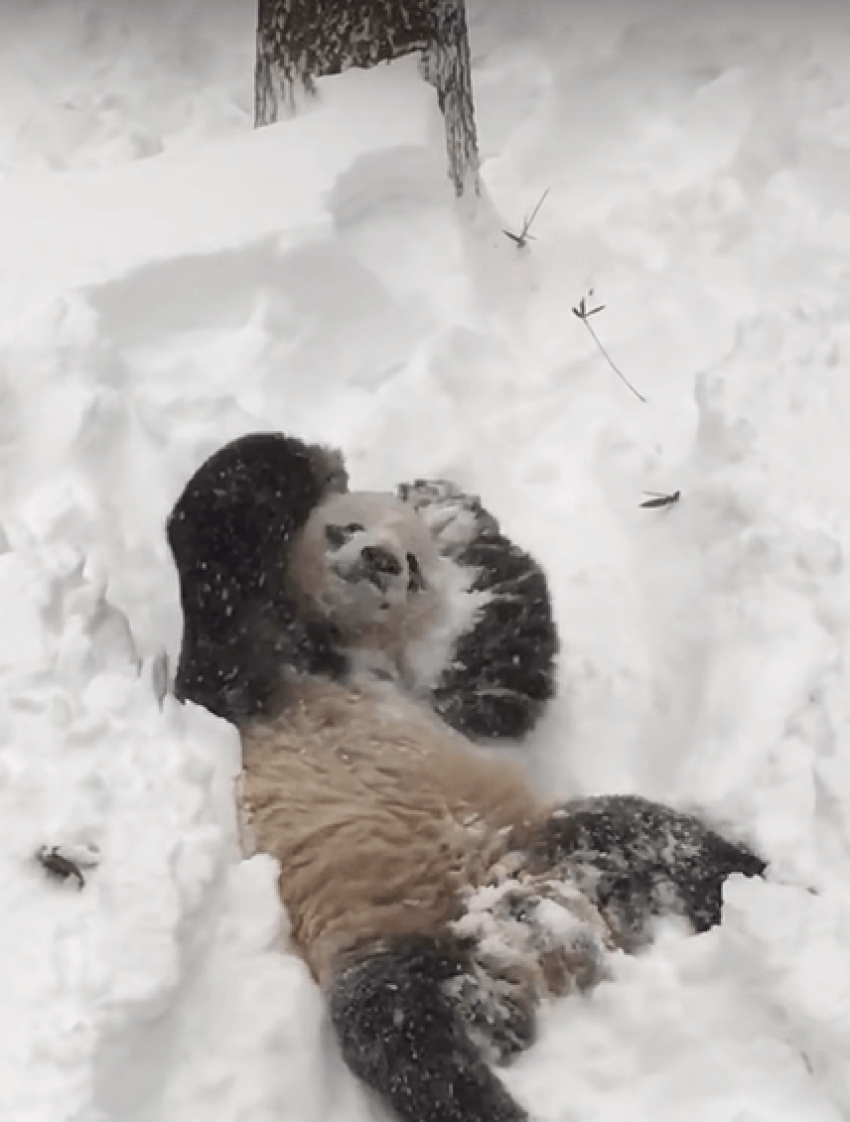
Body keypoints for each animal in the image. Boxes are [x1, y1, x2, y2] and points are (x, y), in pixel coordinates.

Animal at [167, 432, 766, 1122]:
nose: (378, 560)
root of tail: (532, 945)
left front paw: (448, 508)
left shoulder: (447, 704)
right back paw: (490, 1098)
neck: (341, 645)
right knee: (403, 1033)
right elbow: (213, 556)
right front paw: (315, 464)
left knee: (670, 844)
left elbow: (506, 668)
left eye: (412, 564)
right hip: (386, 934)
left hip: (559, 842)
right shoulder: (247, 677)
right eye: (345, 527)